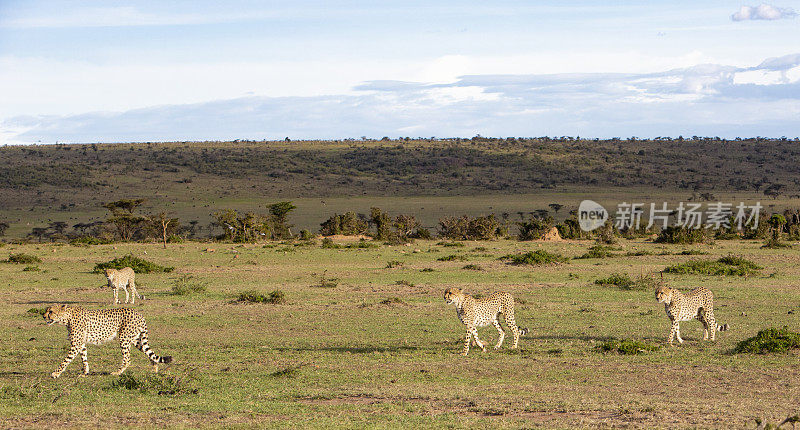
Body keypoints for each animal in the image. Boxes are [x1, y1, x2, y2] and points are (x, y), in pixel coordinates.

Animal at [43, 304, 172, 378]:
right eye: (47, 310)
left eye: (51, 311)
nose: (44, 316)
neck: (66, 317)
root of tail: (139, 314)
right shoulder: (81, 344)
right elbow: (84, 359)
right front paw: (85, 372)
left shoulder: (76, 345)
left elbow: (65, 360)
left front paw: (56, 373)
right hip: (136, 339)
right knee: (149, 353)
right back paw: (154, 369)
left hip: (124, 338)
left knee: (127, 359)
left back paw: (117, 373)